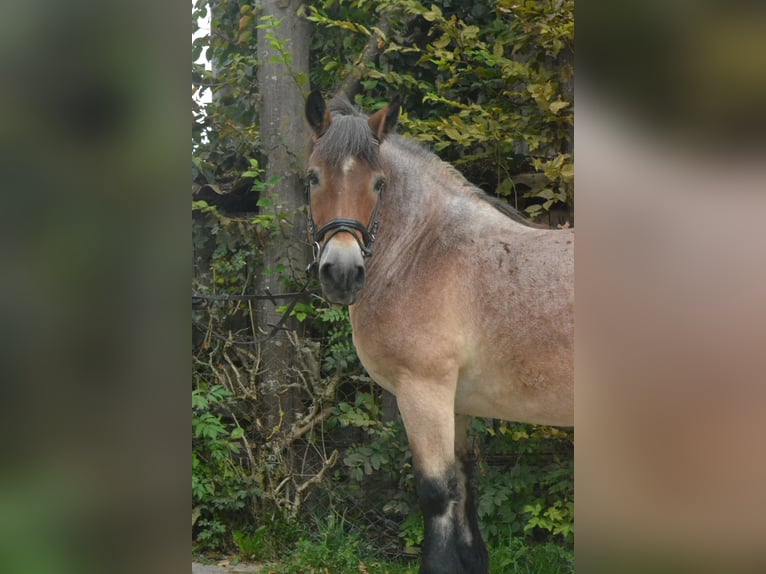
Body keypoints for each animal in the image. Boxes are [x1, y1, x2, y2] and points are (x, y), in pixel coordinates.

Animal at [304, 93, 572, 574]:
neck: (425, 252)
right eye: (313, 177)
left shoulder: (423, 390)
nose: (342, 273)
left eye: (379, 184)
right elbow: (463, 485)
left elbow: (436, 492)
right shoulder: (457, 402)